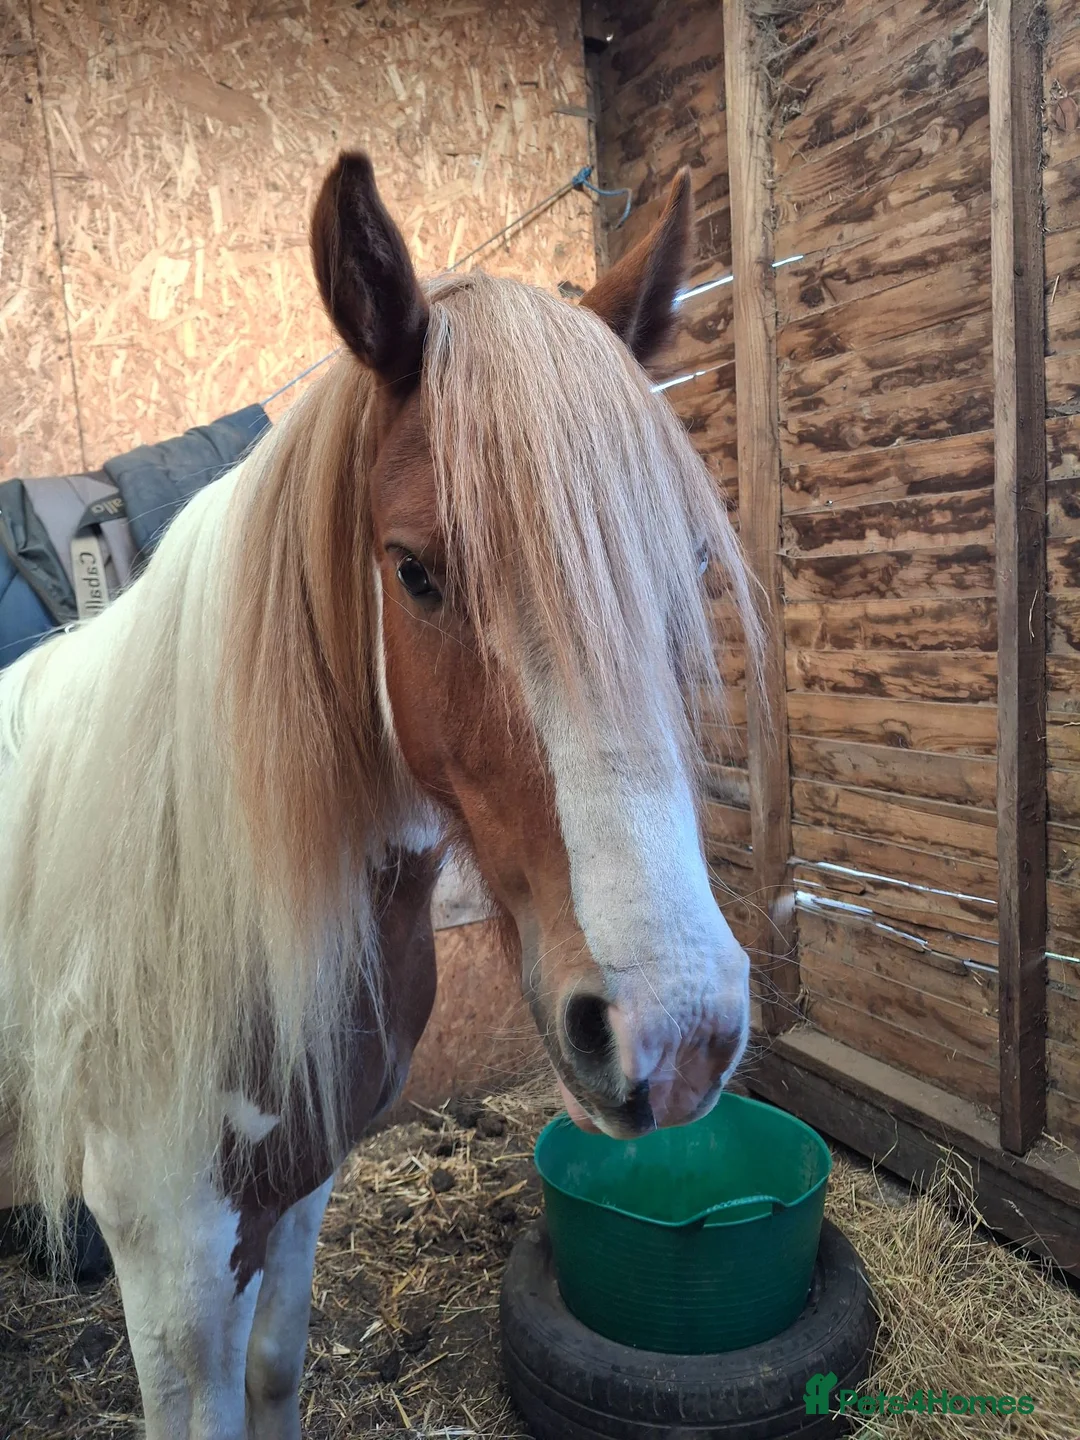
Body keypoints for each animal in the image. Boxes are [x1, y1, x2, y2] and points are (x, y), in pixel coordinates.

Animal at [0, 151, 762, 1439]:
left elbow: (278, 1371)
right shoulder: (170, 1253)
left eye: (689, 571)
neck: (207, 886)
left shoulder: (299, 1186)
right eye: (414, 571)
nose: (678, 1034)